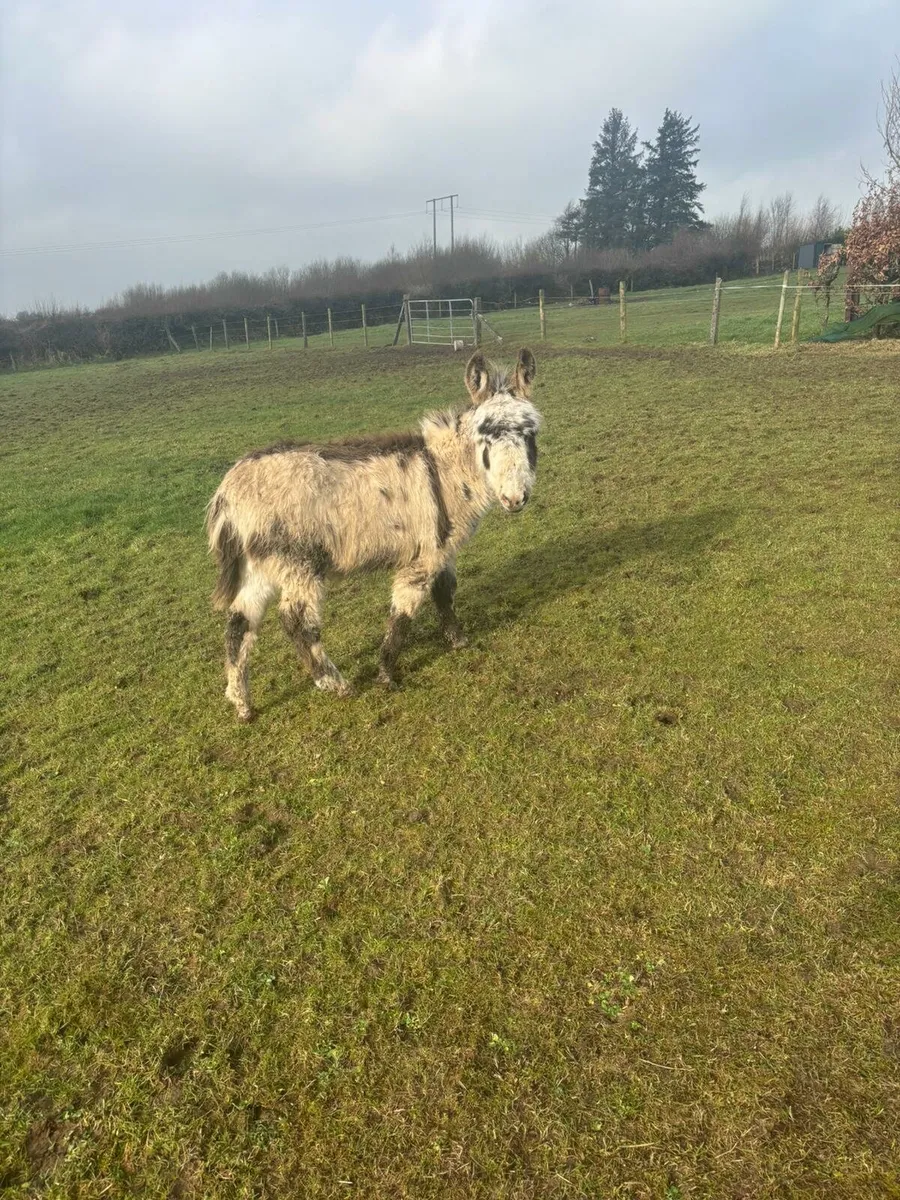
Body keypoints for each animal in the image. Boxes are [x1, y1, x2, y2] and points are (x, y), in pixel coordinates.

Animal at [206, 347, 543, 721]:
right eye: (485, 437)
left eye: (530, 434)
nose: (515, 499)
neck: (444, 471)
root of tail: (228, 490)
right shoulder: (423, 556)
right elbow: (404, 614)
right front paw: (386, 674)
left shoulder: (443, 549)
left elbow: (445, 594)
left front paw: (457, 641)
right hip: (297, 562)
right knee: (296, 621)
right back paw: (336, 684)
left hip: (258, 565)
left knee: (239, 623)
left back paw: (242, 703)